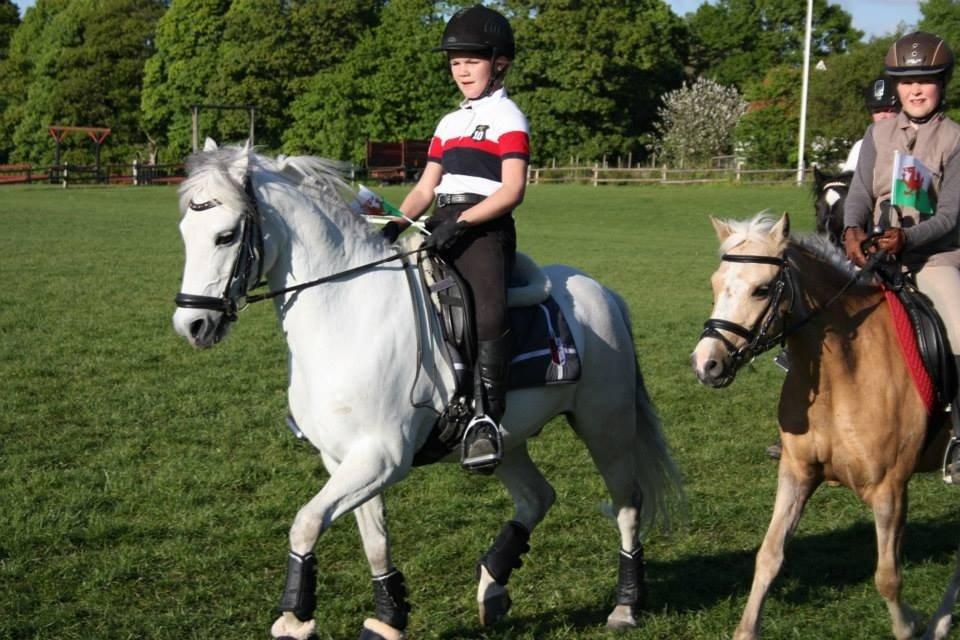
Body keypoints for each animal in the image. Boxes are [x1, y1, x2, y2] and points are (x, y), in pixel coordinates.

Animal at [171, 141, 681, 640]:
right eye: (184, 233)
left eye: (225, 236)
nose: (191, 324)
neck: (346, 313)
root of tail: (603, 293)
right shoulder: (344, 459)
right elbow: (374, 541)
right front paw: (387, 618)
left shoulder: (382, 457)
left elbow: (306, 523)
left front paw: (294, 617)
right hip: (506, 439)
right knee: (537, 496)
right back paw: (492, 586)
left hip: (605, 428)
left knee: (627, 505)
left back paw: (625, 605)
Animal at [690, 213, 960, 640]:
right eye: (715, 284)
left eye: (762, 289)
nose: (706, 364)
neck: (842, 374)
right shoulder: (797, 472)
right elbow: (769, 555)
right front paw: (746, 629)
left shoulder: (890, 489)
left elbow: (888, 578)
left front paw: (909, 623)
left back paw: (938, 621)